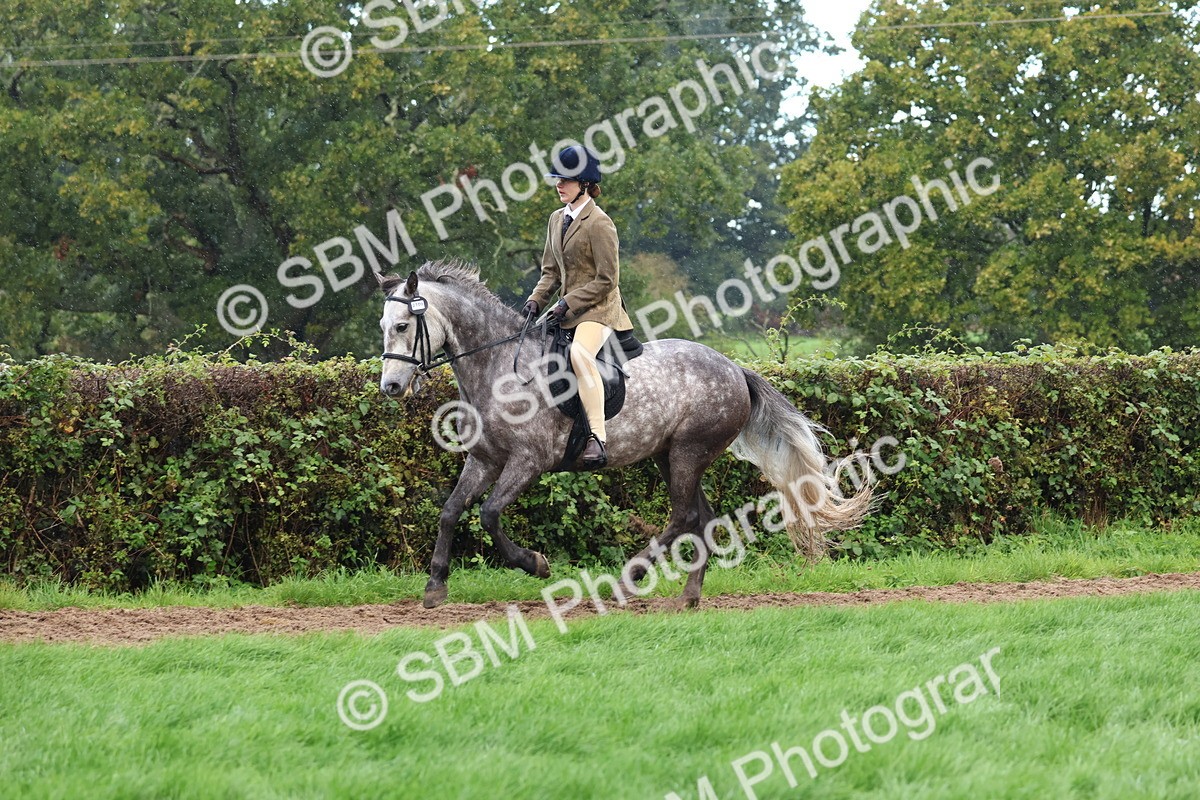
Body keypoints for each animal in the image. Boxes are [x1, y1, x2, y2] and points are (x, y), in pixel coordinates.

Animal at [378, 262, 872, 609]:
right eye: (383, 327)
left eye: (403, 326)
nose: (391, 387)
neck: (500, 369)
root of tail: (734, 368)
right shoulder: (484, 459)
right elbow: (450, 511)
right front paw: (435, 586)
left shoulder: (527, 462)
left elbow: (489, 515)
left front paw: (535, 564)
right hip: (669, 454)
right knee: (700, 517)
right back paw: (689, 596)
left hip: (689, 451)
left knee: (682, 517)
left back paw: (626, 581)